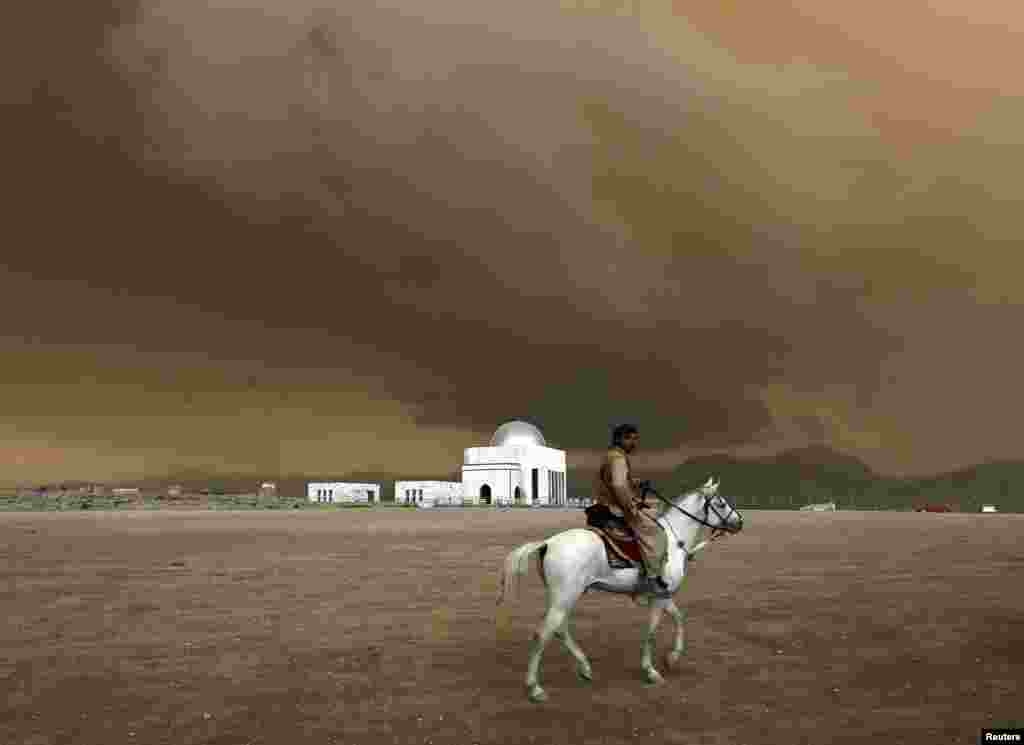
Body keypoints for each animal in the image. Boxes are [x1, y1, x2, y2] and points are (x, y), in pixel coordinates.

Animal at [497, 476, 745, 704]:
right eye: (721, 503)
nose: (739, 522)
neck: (673, 541)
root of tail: (548, 543)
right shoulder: (659, 598)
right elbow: (652, 632)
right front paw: (651, 671)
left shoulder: (664, 595)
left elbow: (679, 618)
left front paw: (672, 658)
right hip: (564, 597)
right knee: (543, 633)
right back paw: (535, 687)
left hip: (565, 597)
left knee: (560, 629)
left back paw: (585, 667)